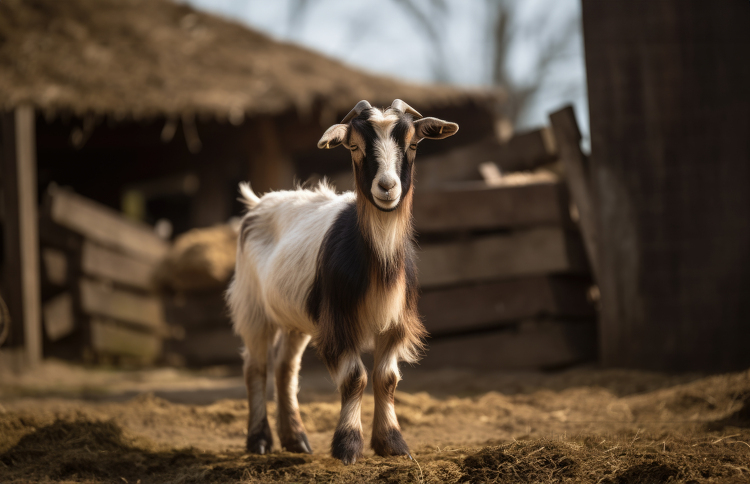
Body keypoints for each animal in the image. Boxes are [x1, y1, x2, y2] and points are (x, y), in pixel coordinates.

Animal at [226, 99, 458, 466]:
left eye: (413, 144)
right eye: (354, 146)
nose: (387, 187)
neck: (380, 262)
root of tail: (258, 202)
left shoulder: (395, 322)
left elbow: (386, 378)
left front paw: (392, 444)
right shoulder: (339, 319)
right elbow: (354, 378)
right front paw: (347, 446)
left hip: (296, 317)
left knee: (285, 368)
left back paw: (296, 439)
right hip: (252, 305)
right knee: (256, 367)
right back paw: (260, 440)